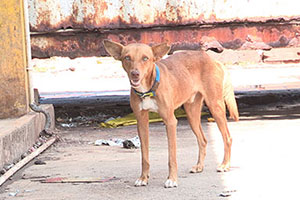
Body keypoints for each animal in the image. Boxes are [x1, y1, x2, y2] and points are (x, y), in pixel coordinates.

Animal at [103, 40, 239, 188]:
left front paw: (172, 179)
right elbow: (144, 156)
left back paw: (225, 164)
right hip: (192, 114)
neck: (148, 89)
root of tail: (212, 60)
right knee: (203, 140)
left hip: (215, 106)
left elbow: (172, 156)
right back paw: (199, 166)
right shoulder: (141, 122)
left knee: (228, 137)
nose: (135, 74)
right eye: (127, 58)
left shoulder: (170, 121)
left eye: (145, 58)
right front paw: (143, 178)